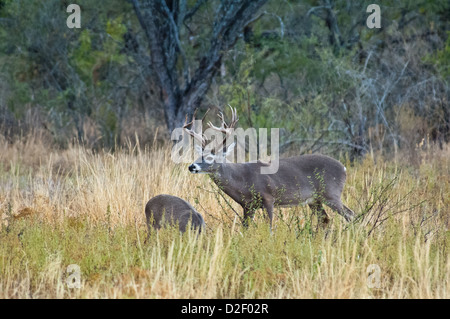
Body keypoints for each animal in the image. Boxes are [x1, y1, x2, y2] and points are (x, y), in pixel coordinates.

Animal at [184, 107, 356, 230]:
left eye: (210, 157)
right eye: (199, 155)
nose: (191, 166)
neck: (242, 181)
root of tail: (344, 168)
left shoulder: (269, 197)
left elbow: (270, 227)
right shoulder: (247, 206)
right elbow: (245, 228)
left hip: (331, 193)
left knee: (350, 214)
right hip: (315, 200)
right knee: (325, 219)